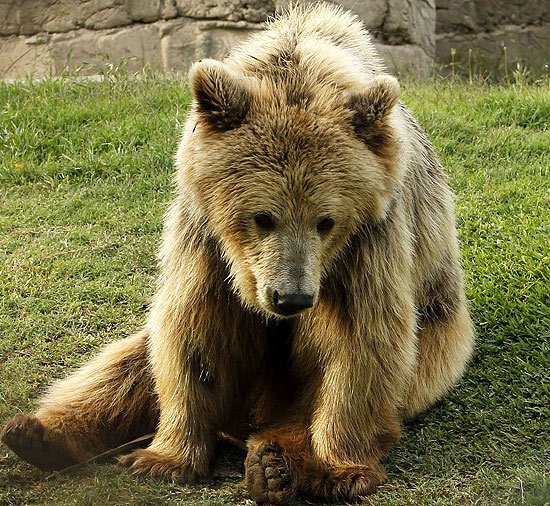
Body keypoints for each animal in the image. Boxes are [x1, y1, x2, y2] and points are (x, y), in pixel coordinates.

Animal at [0, 2, 474, 502]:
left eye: (326, 221)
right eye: (263, 216)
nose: (291, 298)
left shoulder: (368, 241)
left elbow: (361, 339)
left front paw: (340, 469)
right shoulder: (205, 237)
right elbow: (191, 332)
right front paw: (164, 458)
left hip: (438, 333)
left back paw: (274, 464)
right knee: (125, 365)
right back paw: (37, 434)